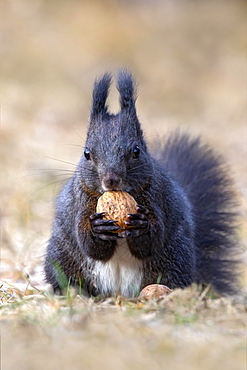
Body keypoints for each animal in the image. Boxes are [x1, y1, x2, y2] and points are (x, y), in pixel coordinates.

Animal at [44, 70, 239, 298]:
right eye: (87, 153)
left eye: (136, 151)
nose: (111, 179)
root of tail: (119, 293)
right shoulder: (81, 199)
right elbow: (90, 244)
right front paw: (97, 227)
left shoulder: (156, 197)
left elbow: (150, 242)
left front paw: (141, 224)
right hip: (61, 260)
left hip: (175, 261)